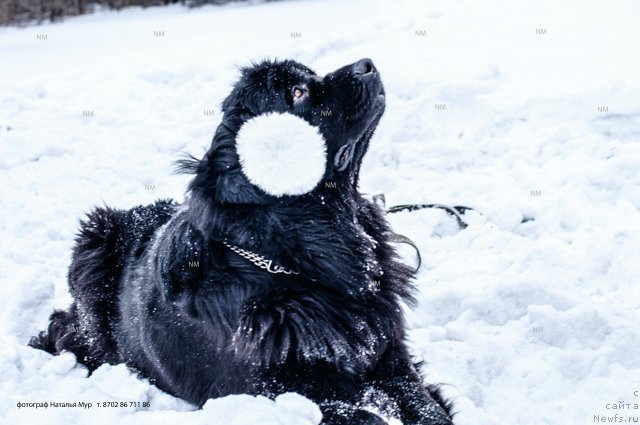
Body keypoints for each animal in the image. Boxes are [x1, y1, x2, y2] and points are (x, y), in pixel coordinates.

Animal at [30, 58, 456, 422]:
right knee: (63, 329)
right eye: (298, 92)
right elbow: (365, 416)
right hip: (94, 239)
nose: (368, 63)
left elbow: (425, 405)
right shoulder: (275, 392)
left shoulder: (388, 355)